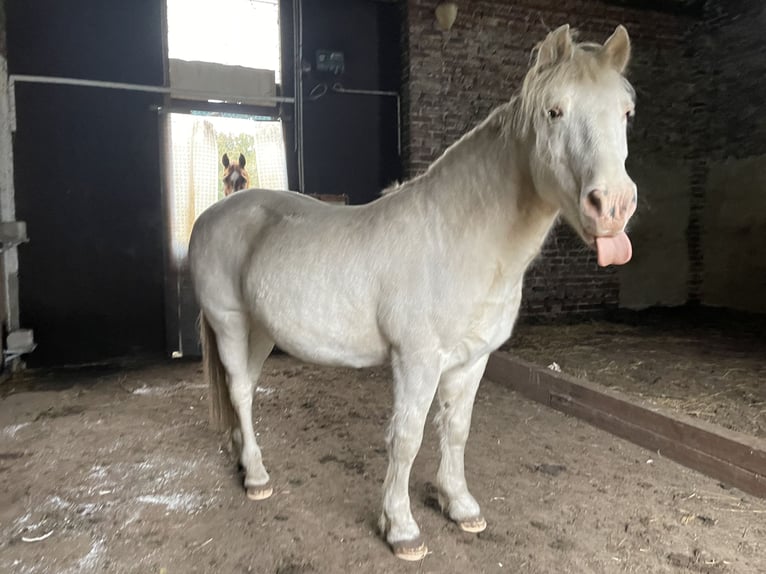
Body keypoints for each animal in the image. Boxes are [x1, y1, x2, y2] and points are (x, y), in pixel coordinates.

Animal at [190, 24, 638, 561]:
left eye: (626, 112)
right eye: (554, 111)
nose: (612, 207)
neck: (456, 236)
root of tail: (215, 213)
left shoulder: (471, 360)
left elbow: (457, 430)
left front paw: (459, 505)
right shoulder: (416, 360)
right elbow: (406, 438)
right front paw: (401, 528)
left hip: (261, 330)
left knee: (248, 392)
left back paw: (243, 460)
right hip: (229, 322)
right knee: (239, 390)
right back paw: (257, 477)